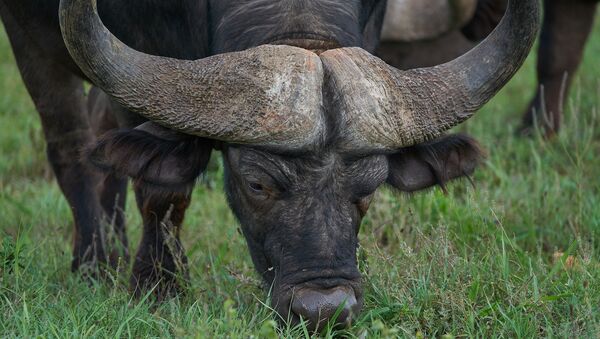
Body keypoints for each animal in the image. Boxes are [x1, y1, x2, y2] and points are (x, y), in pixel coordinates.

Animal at [0, 0, 540, 332]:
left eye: (369, 189)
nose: (323, 311)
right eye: (256, 183)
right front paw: (159, 288)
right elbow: (163, 191)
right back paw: (94, 263)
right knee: (71, 146)